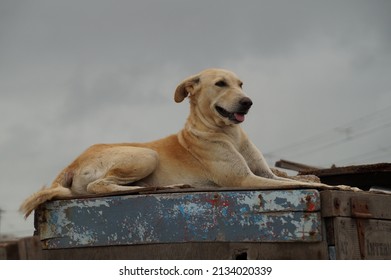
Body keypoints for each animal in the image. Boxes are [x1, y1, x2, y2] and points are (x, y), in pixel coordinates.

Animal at [19, 69, 362, 218]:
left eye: (241, 83)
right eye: (220, 84)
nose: (248, 102)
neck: (229, 133)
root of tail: (71, 163)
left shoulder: (263, 172)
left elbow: (304, 179)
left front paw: (321, 178)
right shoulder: (243, 179)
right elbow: (308, 185)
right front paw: (345, 186)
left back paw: (172, 187)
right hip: (145, 155)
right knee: (98, 187)